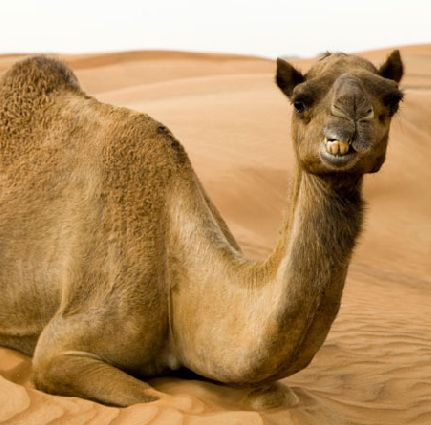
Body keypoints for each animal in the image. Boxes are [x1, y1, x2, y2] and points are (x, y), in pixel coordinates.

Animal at [0, 51, 403, 408]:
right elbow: (154, 399)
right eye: (301, 102)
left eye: (393, 98)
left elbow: (277, 396)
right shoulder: (61, 347)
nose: (353, 112)